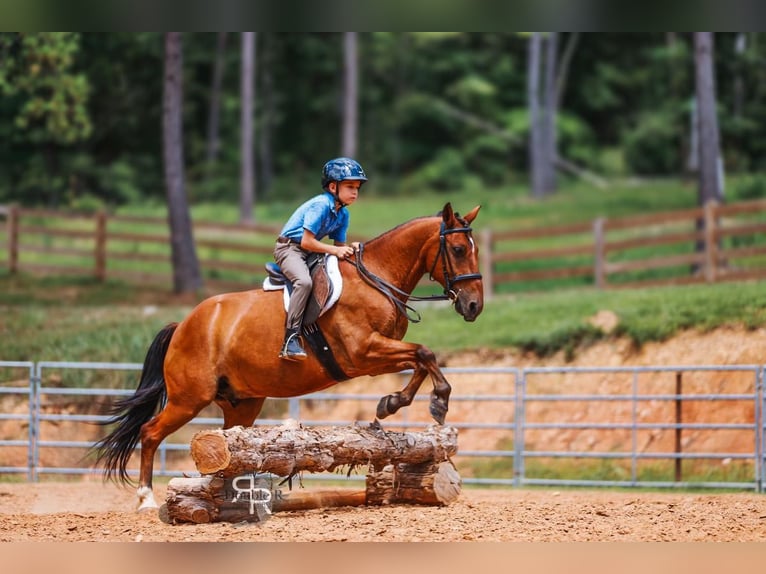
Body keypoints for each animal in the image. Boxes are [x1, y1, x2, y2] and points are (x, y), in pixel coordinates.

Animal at [94, 202, 484, 511]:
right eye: (458, 249)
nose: (474, 306)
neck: (376, 278)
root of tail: (183, 324)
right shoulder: (363, 353)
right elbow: (424, 353)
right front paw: (436, 402)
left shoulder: (378, 352)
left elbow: (420, 360)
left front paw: (394, 403)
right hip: (189, 398)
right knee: (150, 432)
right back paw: (146, 499)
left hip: (242, 403)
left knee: (230, 446)